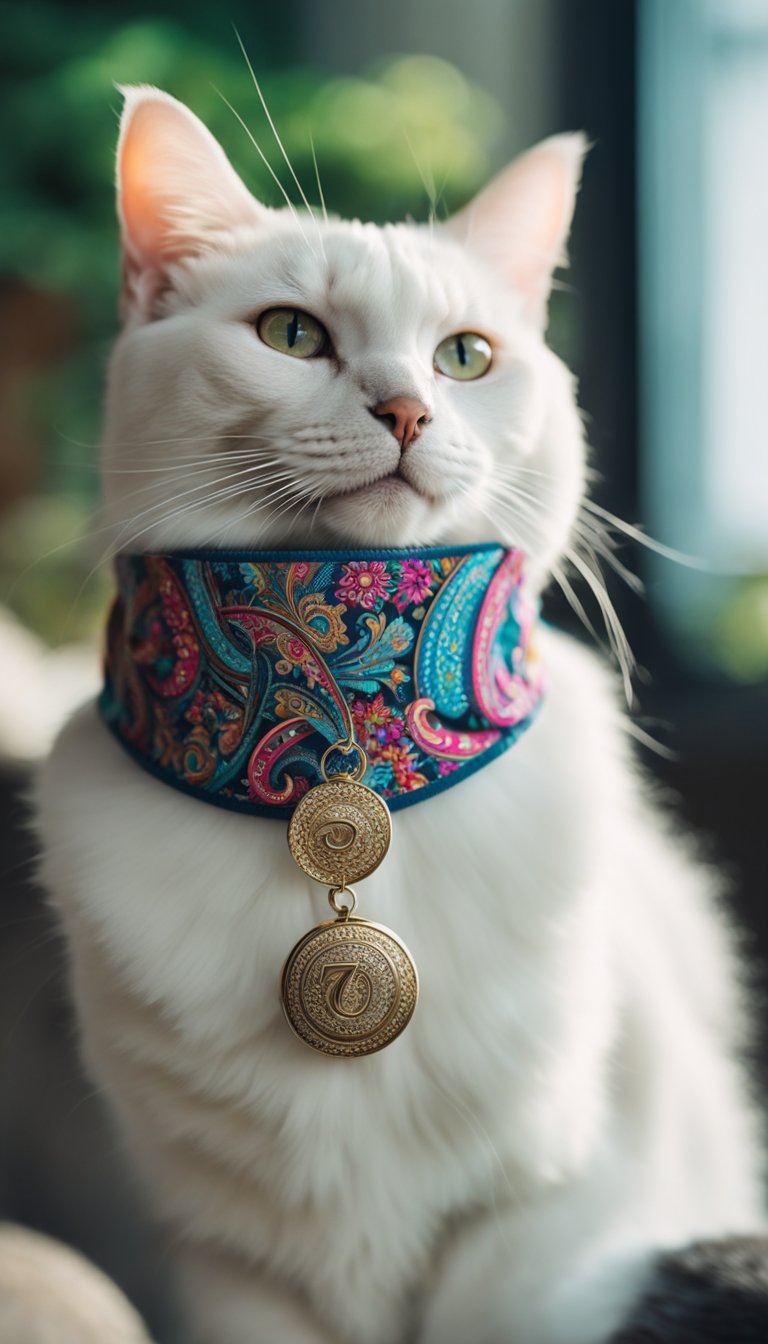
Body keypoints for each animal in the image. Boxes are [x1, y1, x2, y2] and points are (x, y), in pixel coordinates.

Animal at [34, 86, 763, 1344]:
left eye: (465, 357)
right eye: (290, 336)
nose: (411, 409)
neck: (359, 758)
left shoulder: (553, 1232)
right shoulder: (230, 1265)